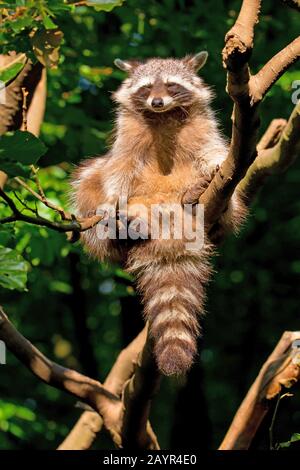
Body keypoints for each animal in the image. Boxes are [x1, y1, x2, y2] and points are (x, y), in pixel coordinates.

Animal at [71, 52, 247, 374]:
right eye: (145, 88)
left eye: (171, 85)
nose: (157, 102)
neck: (164, 116)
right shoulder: (127, 135)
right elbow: (119, 167)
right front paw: (112, 199)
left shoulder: (204, 127)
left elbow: (212, 152)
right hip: (109, 198)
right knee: (90, 179)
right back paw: (120, 229)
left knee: (230, 196)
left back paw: (203, 198)